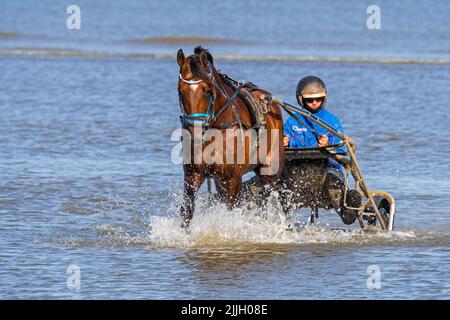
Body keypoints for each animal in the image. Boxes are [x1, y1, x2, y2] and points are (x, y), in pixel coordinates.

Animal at [177, 47, 284, 228]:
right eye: (180, 91)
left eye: (207, 90)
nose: (194, 131)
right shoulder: (193, 175)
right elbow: (186, 212)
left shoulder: (233, 179)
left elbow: (231, 210)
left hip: (270, 169)